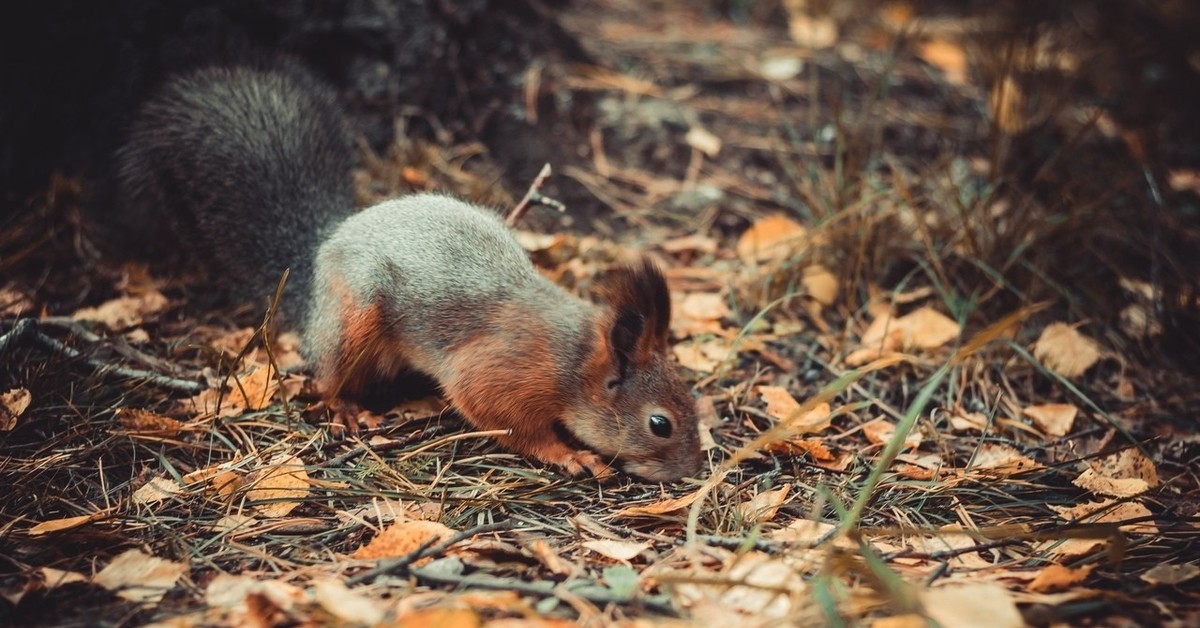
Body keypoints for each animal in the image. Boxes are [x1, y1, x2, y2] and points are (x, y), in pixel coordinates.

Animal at [114, 62, 700, 482]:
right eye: (660, 424)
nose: (692, 474)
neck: (574, 358)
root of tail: (325, 245)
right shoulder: (502, 372)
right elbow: (506, 420)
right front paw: (568, 454)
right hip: (354, 319)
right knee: (326, 376)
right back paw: (349, 409)